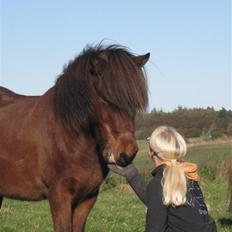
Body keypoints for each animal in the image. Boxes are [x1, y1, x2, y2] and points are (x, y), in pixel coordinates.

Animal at [0, 44, 150, 231]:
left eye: (134, 101)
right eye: (103, 98)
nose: (127, 153)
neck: (69, 135)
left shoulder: (87, 197)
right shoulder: (59, 196)